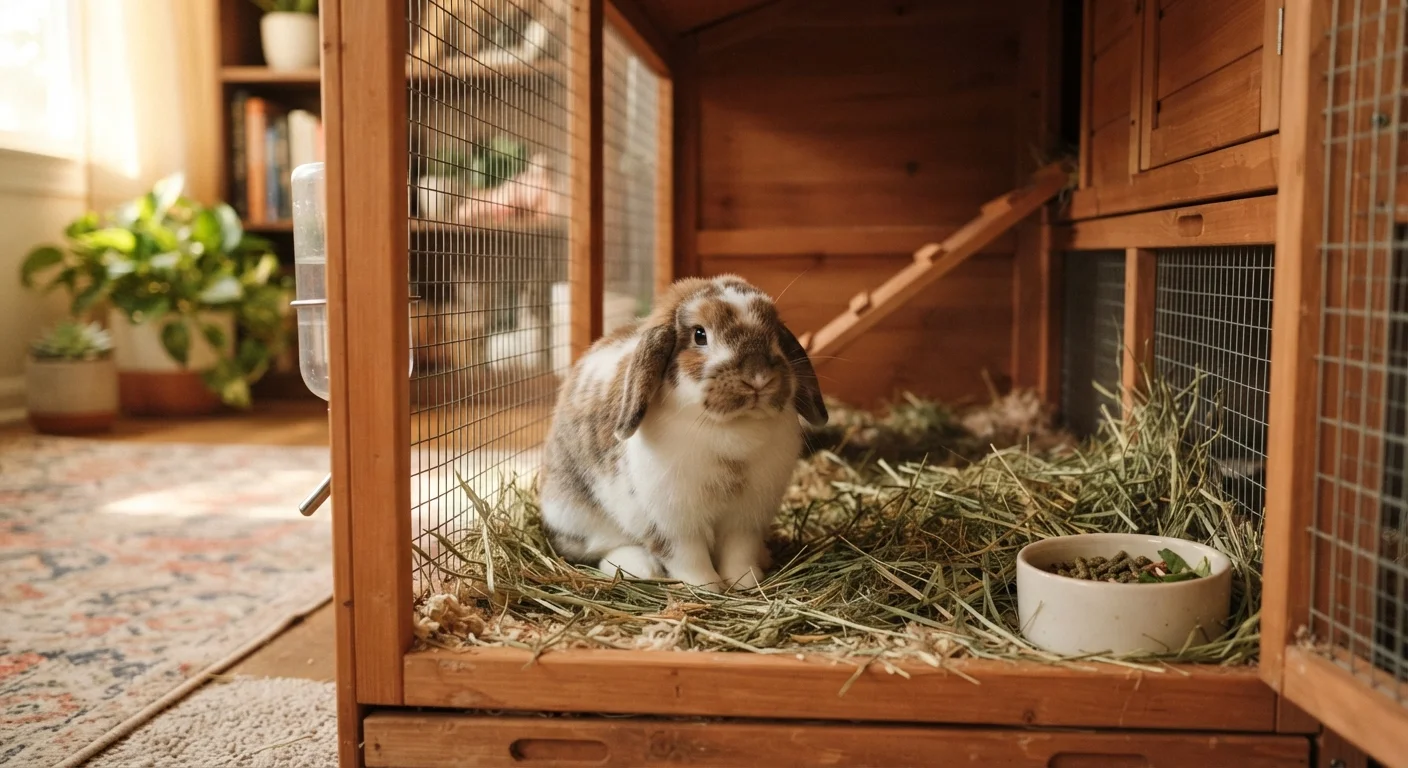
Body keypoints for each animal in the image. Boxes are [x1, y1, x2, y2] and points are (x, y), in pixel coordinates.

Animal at [538, 275, 827, 591]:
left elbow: (739, 553)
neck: (731, 427)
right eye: (700, 335)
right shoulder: (673, 523)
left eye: (774, 332)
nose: (757, 378)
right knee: (598, 546)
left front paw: (746, 583)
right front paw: (707, 587)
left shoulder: (746, 519)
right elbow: (688, 558)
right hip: (576, 516)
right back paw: (640, 567)